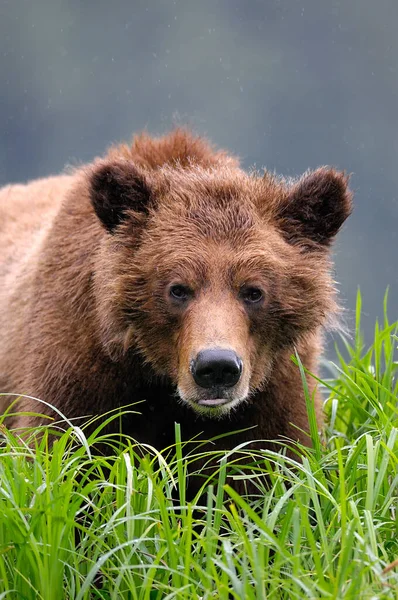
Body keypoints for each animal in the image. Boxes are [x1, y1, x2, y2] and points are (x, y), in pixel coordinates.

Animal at [0, 127, 352, 488]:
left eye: (253, 291)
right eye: (178, 289)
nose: (216, 367)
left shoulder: (276, 394)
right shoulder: (78, 368)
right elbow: (61, 455)